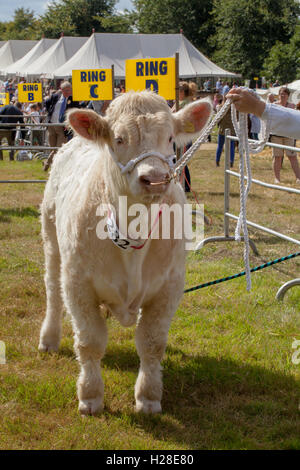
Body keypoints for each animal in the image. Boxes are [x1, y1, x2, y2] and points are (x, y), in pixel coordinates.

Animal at [38, 89, 211, 414]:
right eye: (118, 138)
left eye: (170, 137)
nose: (154, 178)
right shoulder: (78, 283)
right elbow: (90, 341)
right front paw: (90, 395)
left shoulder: (170, 286)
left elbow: (152, 343)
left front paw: (149, 396)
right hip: (51, 240)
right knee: (53, 291)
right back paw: (49, 338)